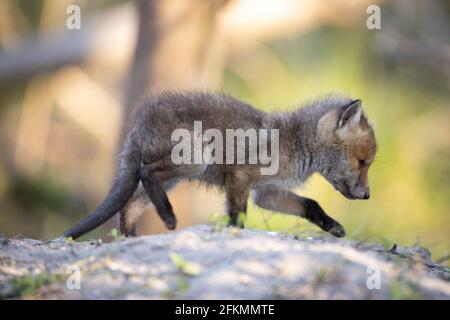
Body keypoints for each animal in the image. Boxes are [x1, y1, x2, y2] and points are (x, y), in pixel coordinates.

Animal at [59, 91, 376, 239]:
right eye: (362, 162)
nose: (368, 195)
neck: (294, 143)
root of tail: (138, 120)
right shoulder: (240, 177)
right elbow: (237, 216)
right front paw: (235, 234)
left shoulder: (267, 192)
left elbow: (310, 204)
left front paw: (332, 226)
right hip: (194, 161)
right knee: (147, 174)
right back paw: (169, 218)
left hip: (174, 177)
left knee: (129, 205)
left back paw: (129, 240)